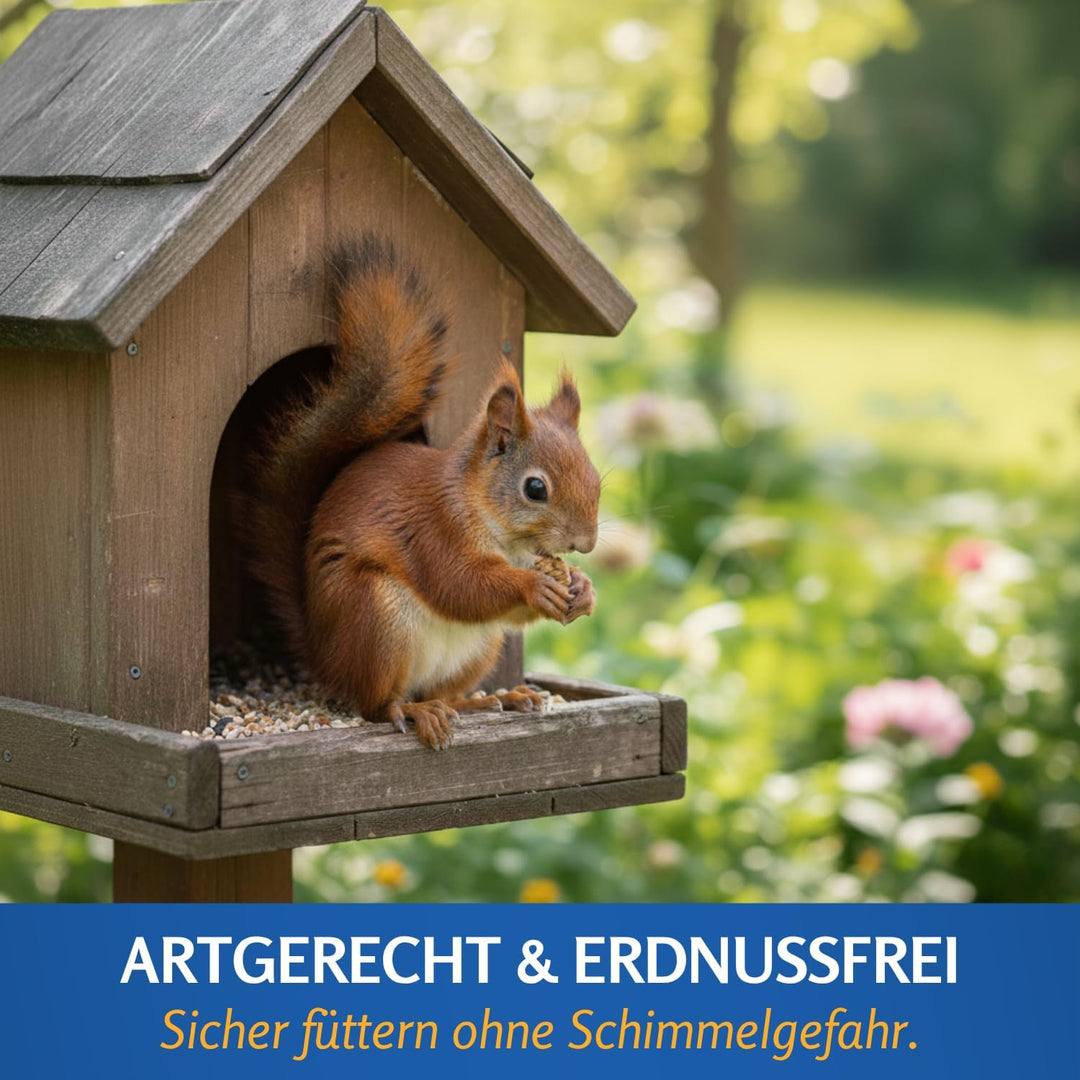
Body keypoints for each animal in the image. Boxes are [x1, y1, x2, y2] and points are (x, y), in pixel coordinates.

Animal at [243, 234, 599, 749]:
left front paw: (583, 589)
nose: (585, 544)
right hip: (376, 617)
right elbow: (459, 585)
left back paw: (488, 700)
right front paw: (535, 585)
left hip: (480, 646)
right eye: (535, 488)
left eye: (595, 477)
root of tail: (326, 656)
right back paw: (414, 711)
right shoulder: (434, 528)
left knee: (445, 690)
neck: (499, 532)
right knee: (377, 706)